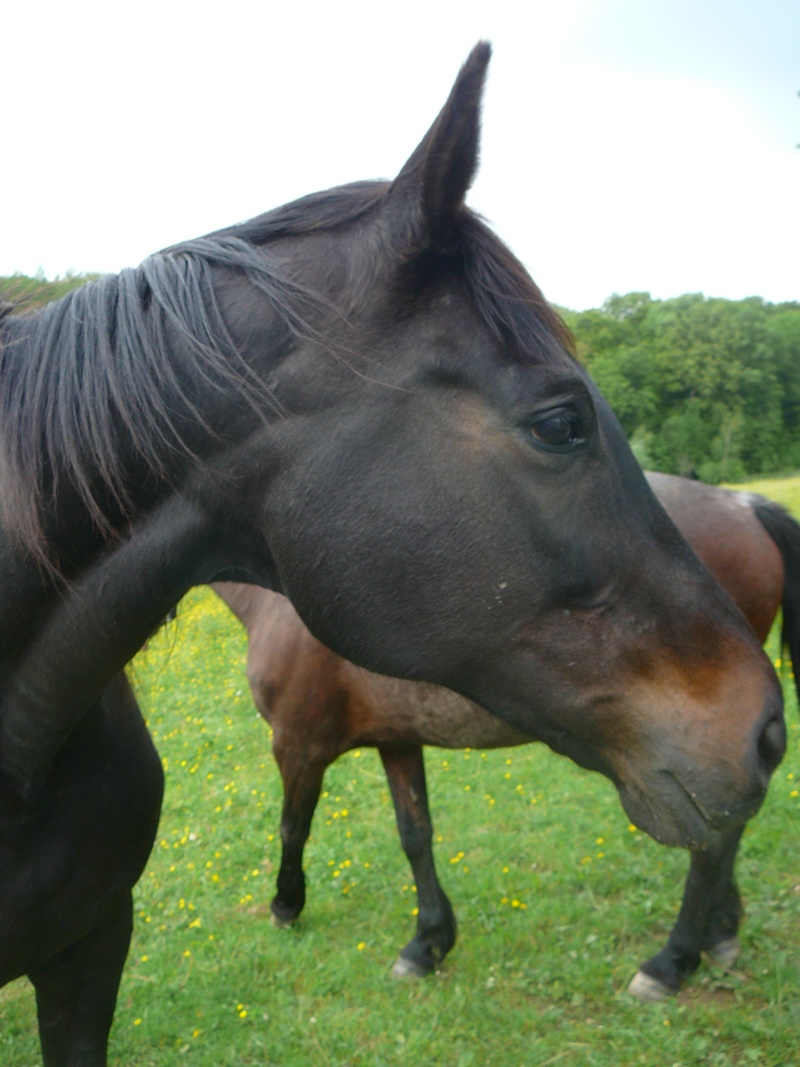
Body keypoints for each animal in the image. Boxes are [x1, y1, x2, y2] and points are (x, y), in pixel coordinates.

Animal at [214, 471, 800, 994]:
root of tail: (744, 505)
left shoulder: (298, 745)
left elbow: (293, 828)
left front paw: (286, 904)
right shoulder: (397, 740)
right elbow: (415, 835)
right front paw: (428, 942)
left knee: (712, 843)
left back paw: (672, 962)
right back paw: (721, 931)